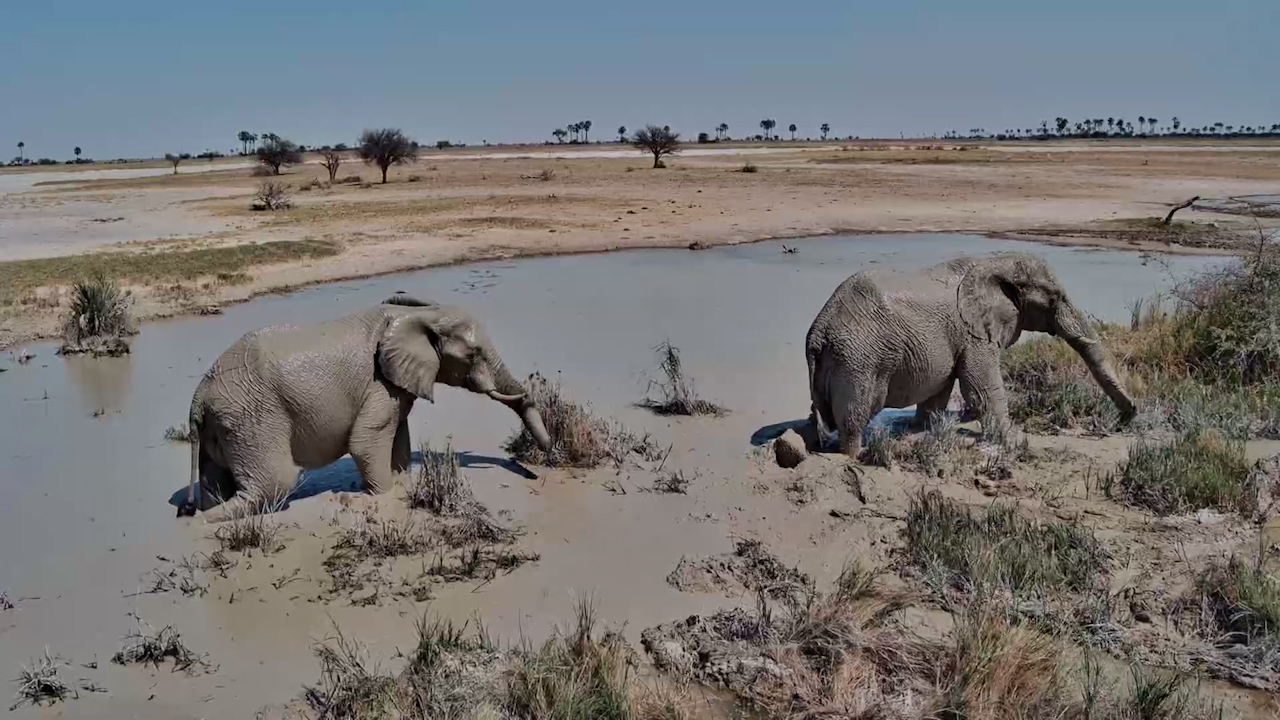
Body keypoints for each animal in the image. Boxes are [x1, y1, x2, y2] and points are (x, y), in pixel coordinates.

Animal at [177, 294, 552, 520]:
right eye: (472, 355)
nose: (544, 456)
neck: (417, 314)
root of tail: (198, 398)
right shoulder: (378, 383)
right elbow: (366, 440)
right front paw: (381, 496)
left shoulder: (393, 386)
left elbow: (398, 435)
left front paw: (400, 484)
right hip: (252, 416)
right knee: (274, 483)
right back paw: (206, 523)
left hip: (223, 425)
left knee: (216, 484)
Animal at [805, 252, 1136, 457]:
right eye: (1055, 298)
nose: (1125, 418)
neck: (995, 262)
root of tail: (817, 332)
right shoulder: (974, 333)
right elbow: (981, 389)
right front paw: (1017, 440)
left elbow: (939, 391)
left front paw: (922, 431)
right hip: (859, 359)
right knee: (855, 416)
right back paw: (855, 454)